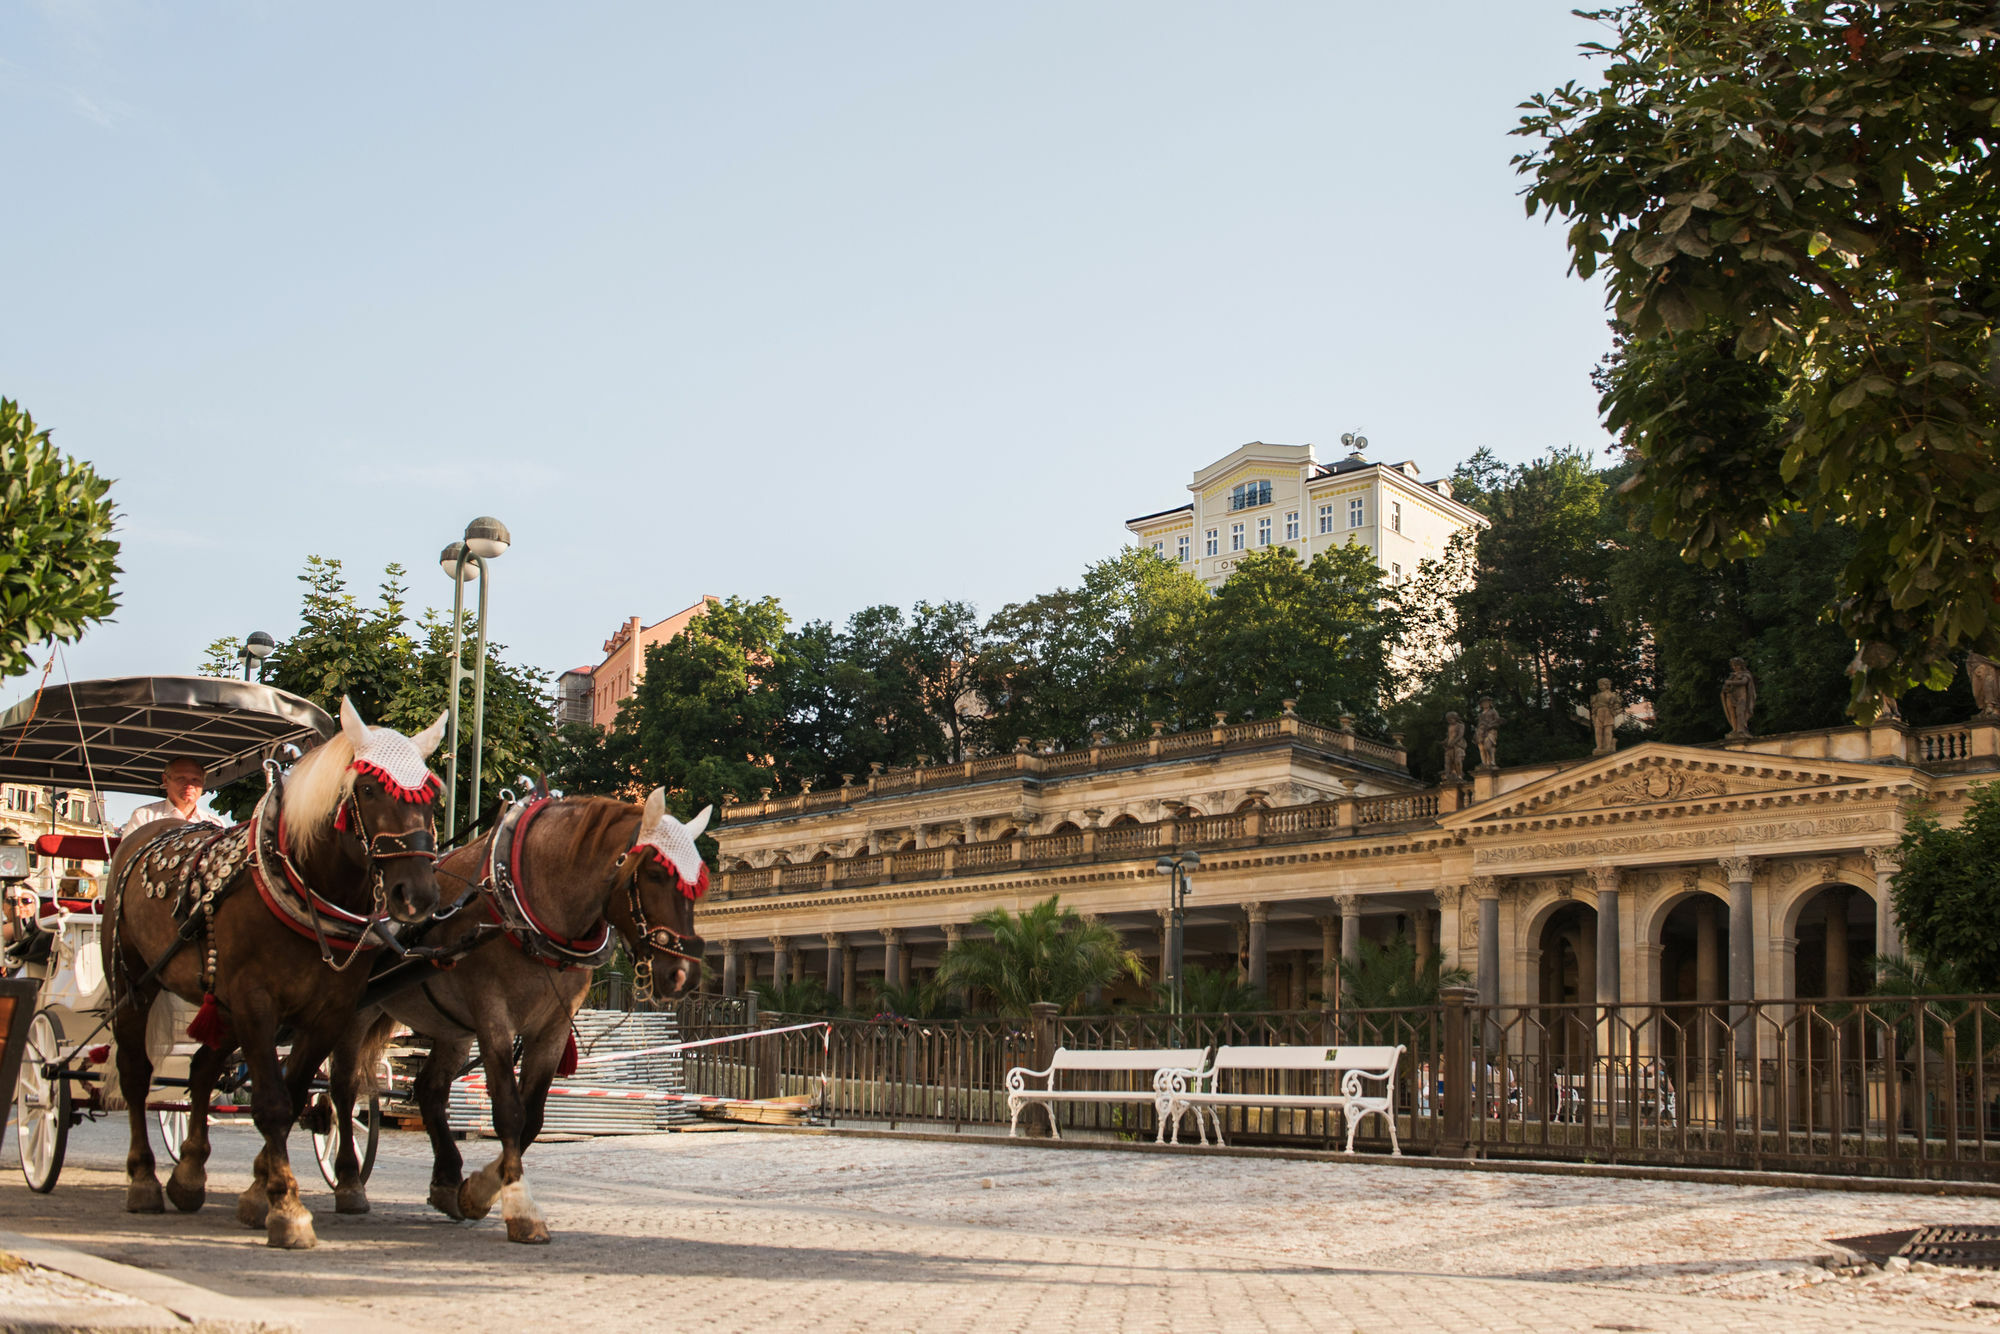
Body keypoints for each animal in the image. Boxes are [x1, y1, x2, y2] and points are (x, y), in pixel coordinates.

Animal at [103, 700, 444, 1256]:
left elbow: (296, 1092)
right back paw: (144, 1180)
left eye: (433, 796)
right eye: (369, 790)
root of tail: (147, 833)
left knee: (201, 1070)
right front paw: (285, 1207)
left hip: (218, 1002)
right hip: (133, 980)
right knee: (135, 1073)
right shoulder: (256, 1003)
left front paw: (259, 1192)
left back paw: (190, 1174)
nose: (416, 895)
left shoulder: (329, 1013)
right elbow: (272, 1104)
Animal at [324, 792, 708, 1240]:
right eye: (656, 873)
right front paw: (521, 1208)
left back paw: (447, 1180)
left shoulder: (552, 1028)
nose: (683, 975)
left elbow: (534, 1118)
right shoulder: (494, 1019)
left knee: (429, 1089)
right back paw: (349, 1180)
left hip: (453, 1029)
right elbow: (509, 1111)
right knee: (343, 1088)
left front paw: (479, 1190)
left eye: (698, 884)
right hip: (357, 1011)